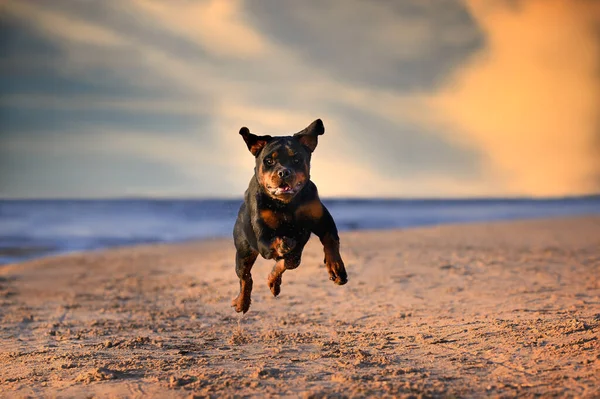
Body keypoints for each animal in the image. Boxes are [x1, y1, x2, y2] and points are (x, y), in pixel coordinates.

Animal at [232, 120, 350, 314]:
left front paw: (336, 269)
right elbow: (276, 245)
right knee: (245, 277)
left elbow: (329, 240)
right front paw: (283, 245)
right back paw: (242, 302)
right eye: (269, 161)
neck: (286, 204)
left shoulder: (322, 219)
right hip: (244, 250)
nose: (283, 172)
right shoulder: (262, 239)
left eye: (296, 159)